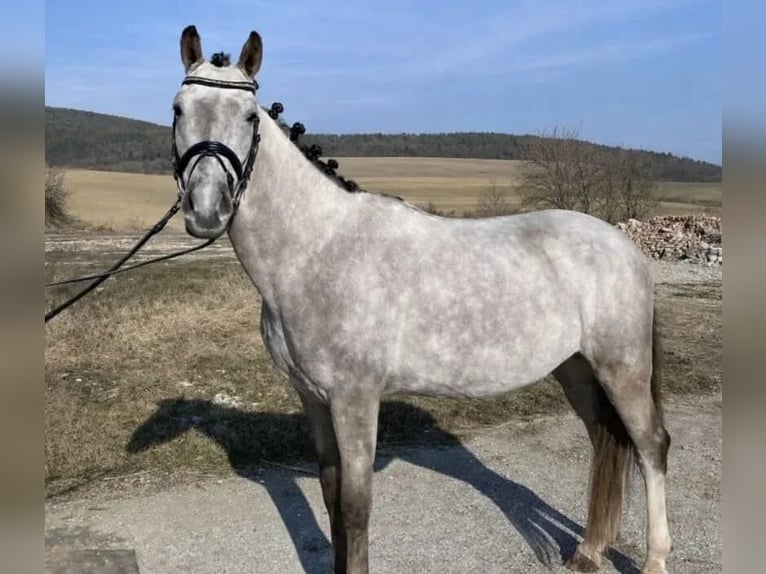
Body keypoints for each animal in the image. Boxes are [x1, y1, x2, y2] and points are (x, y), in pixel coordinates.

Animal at [170, 25, 672, 574]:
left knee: (651, 447)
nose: (206, 210)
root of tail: (625, 247)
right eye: (178, 109)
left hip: (622, 369)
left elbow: (355, 507)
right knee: (606, 440)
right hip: (576, 370)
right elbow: (330, 495)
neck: (316, 249)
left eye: (249, 117)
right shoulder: (314, 399)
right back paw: (588, 550)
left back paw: (654, 559)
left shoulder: (355, 400)